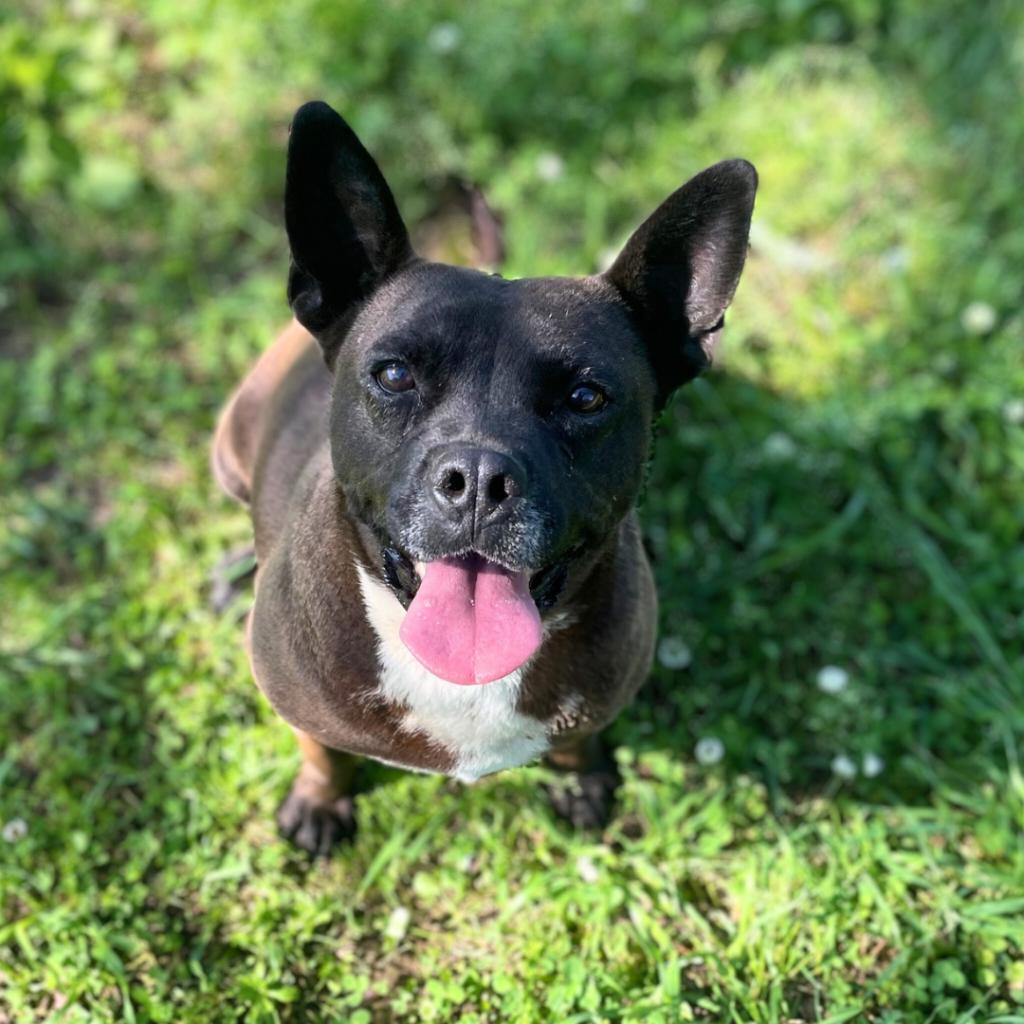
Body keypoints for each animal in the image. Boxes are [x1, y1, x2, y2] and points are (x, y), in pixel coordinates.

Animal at [211, 101, 757, 856]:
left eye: (585, 398)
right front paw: (319, 802)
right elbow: (321, 749)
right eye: (393, 375)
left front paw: (579, 780)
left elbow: (577, 740)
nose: (477, 478)